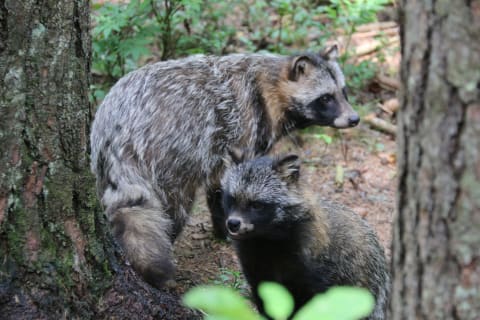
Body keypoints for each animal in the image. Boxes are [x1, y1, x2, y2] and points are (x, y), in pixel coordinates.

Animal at [91, 47, 360, 288]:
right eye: (326, 98)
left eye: (343, 92)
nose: (354, 119)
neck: (268, 87)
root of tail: (117, 131)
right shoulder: (243, 130)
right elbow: (230, 181)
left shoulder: (218, 152)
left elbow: (219, 187)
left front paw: (221, 227)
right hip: (170, 152)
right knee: (174, 206)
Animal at [221, 151, 390, 318]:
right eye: (232, 199)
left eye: (256, 205)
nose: (233, 223)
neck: (265, 241)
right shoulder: (257, 270)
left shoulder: (314, 271)